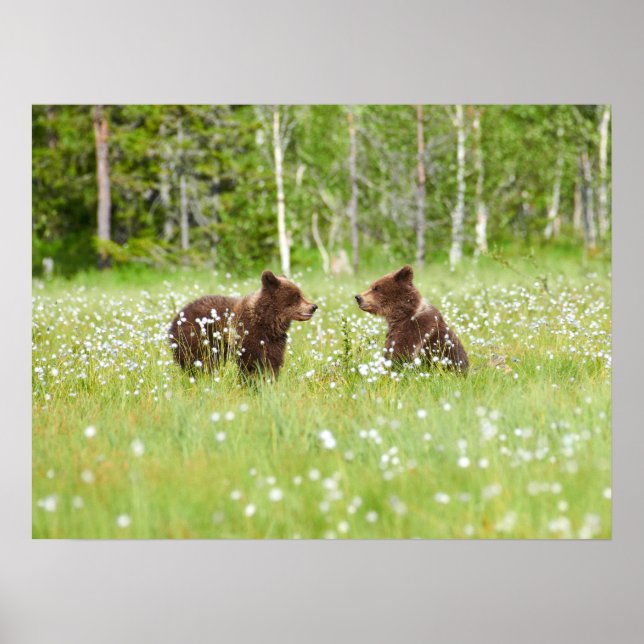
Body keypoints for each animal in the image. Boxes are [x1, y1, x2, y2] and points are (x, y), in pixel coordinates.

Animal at [169, 271, 317, 377]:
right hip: (198, 339)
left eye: (301, 293)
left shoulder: (274, 342)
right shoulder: (247, 336)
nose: (313, 306)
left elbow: (272, 362)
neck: (267, 322)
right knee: (200, 362)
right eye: (296, 296)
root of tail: (178, 315)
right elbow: (250, 364)